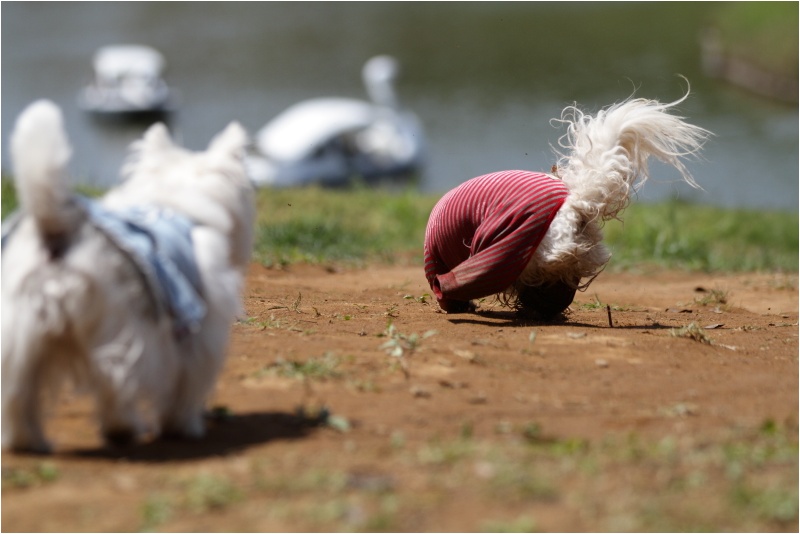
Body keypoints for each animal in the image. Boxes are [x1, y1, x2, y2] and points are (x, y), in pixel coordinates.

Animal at [2, 100, 253, 452]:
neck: (171, 202)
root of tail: (56, 229)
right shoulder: (198, 333)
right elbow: (186, 387)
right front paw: (183, 426)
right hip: (119, 332)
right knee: (115, 382)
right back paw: (123, 428)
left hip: (19, 338)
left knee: (16, 395)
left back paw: (27, 441)